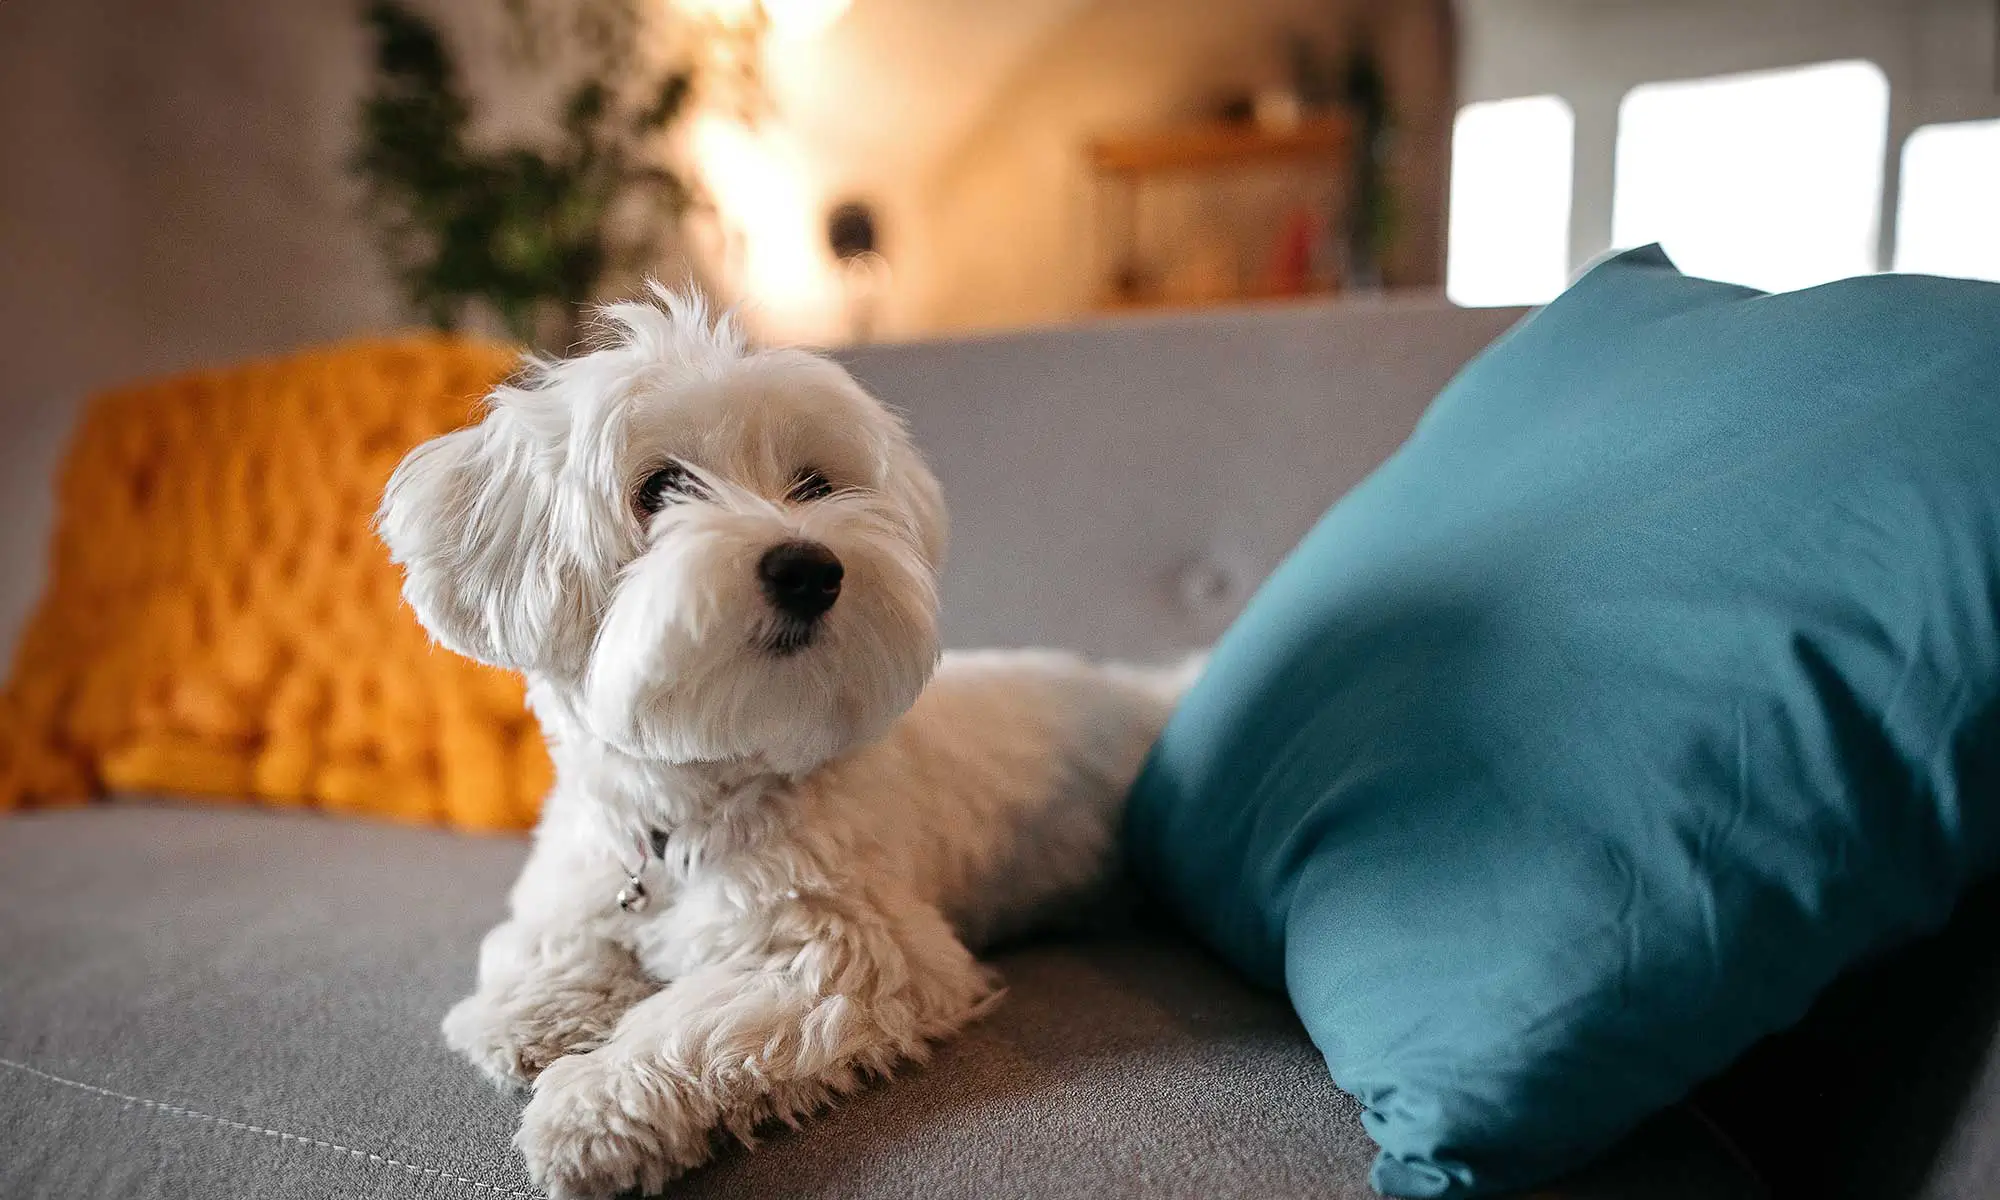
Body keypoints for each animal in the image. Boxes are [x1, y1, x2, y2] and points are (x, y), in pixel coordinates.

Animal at [376, 290, 1184, 1200]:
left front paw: (593, 1107)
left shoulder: (853, 953)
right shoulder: (584, 867)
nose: (809, 567)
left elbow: (692, 1026)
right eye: (660, 488)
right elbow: (550, 937)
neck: (688, 807)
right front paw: (535, 1010)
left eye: (814, 485)